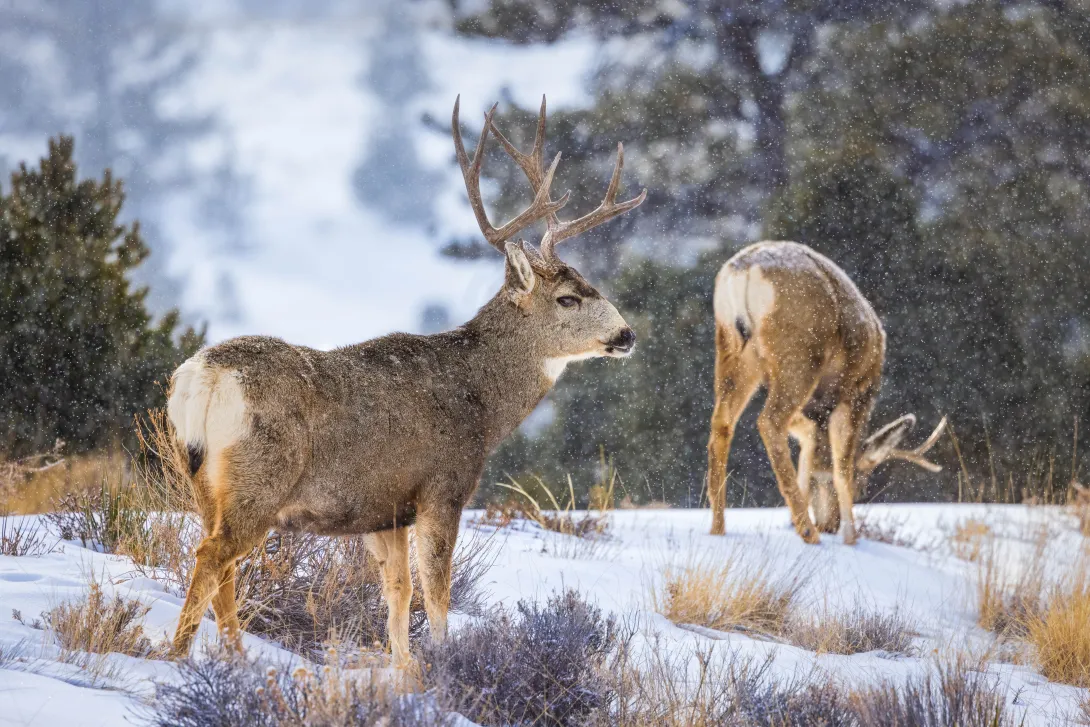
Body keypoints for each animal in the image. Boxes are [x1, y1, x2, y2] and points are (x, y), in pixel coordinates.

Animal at [165, 96, 645, 665]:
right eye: (568, 298)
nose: (626, 334)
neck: (482, 400)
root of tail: (204, 377)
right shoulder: (442, 484)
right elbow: (437, 591)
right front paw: (446, 664)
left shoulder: (385, 509)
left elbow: (398, 594)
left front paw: (405, 671)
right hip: (260, 475)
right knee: (213, 556)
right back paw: (180, 656)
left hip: (201, 481)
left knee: (221, 564)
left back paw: (233, 660)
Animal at [705, 241, 946, 544]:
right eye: (862, 485)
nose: (829, 525)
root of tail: (744, 270)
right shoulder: (855, 393)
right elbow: (841, 465)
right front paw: (851, 537)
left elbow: (809, 452)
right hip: (800, 354)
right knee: (769, 421)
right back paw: (809, 533)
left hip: (733, 348)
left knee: (722, 423)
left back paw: (718, 527)